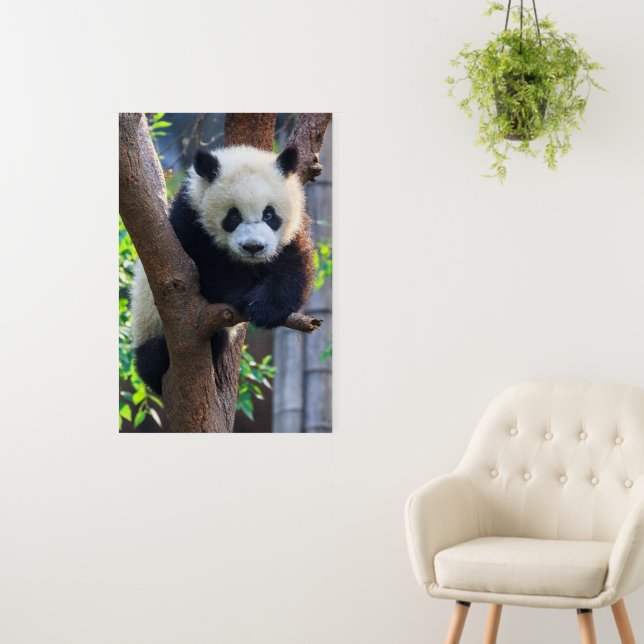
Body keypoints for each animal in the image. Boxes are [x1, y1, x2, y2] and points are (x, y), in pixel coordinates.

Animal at [130, 144, 314, 395]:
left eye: (269, 214)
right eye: (233, 215)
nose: (253, 247)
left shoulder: (291, 233)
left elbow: (292, 268)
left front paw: (265, 309)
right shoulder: (188, 223)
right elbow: (208, 270)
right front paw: (244, 296)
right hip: (150, 323)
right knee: (155, 358)